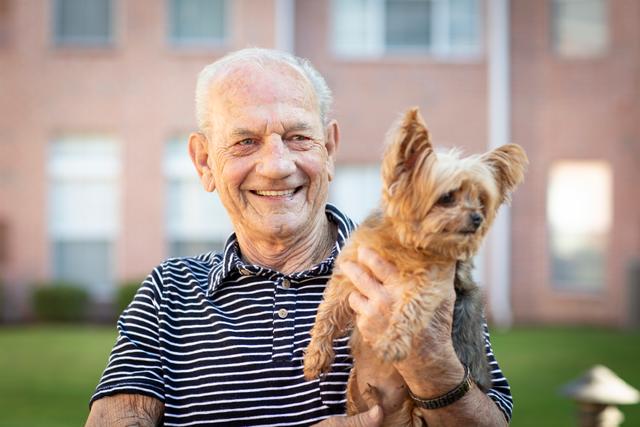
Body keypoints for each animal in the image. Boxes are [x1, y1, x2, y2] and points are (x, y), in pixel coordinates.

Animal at [302, 107, 528, 424]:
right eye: (447, 197)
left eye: (481, 200)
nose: (477, 218)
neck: (407, 244)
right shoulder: (350, 271)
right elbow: (328, 312)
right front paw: (315, 356)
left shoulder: (429, 285)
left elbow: (408, 311)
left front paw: (391, 344)